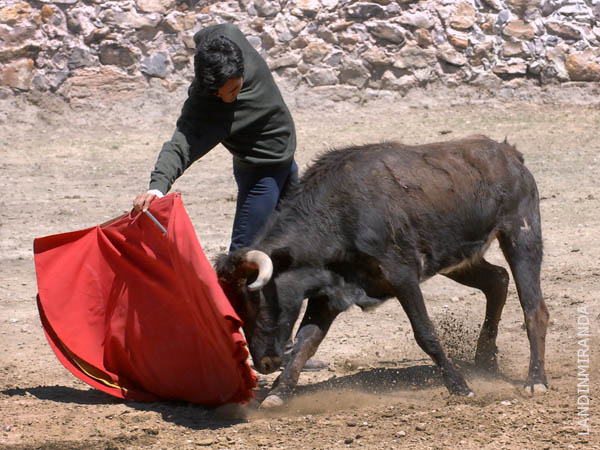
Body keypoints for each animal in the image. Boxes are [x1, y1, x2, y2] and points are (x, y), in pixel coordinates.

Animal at [216, 134, 548, 408]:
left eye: (254, 299)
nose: (264, 363)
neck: (338, 214)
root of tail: (509, 153)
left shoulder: (402, 276)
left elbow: (425, 333)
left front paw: (459, 387)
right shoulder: (329, 294)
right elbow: (304, 342)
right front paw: (278, 394)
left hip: (521, 235)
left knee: (534, 308)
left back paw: (535, 381)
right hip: (458, 260)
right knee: (497, 280)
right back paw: (485, 361)